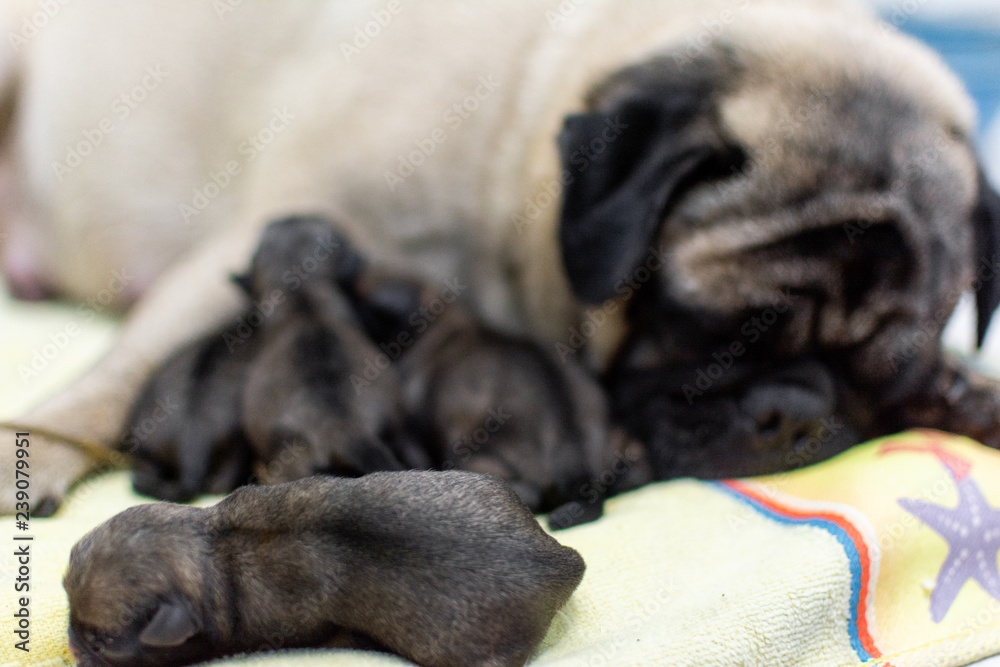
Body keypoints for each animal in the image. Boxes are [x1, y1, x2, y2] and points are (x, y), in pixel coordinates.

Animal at [2, 0, 1000, 513]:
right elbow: (112, 380)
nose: (802, 414)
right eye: (708, 334)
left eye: (876, 373)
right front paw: (37, 446)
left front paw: (960, 389)